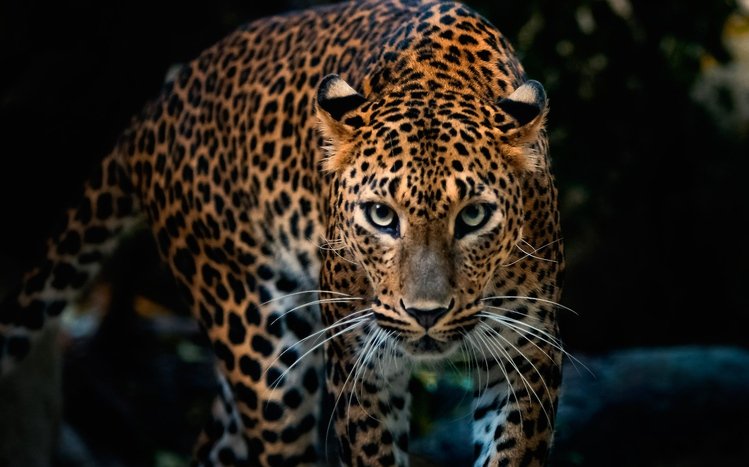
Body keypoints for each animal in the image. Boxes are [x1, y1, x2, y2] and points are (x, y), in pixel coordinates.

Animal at [0, 0, 565, 465]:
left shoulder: (527, 357)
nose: (425, 314)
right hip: (261, 344)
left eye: (473, 217)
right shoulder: (361, 368)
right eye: (381, 216)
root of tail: (159, 104)